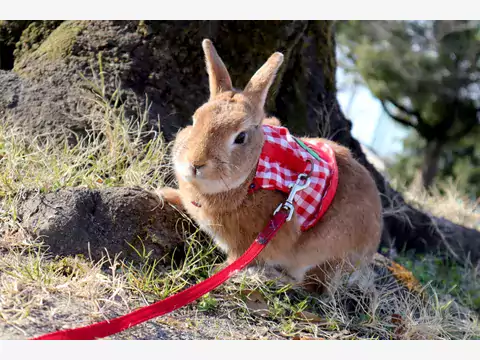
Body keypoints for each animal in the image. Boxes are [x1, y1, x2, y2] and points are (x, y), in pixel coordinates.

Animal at [158, 38, 382, 292]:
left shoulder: (253, 241)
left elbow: (236, 260)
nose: (195, 163)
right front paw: (165, 194)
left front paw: (216, 272)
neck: (250, 179)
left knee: (310, 285)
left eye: (240, 137)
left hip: (322, 253)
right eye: (195, 119)